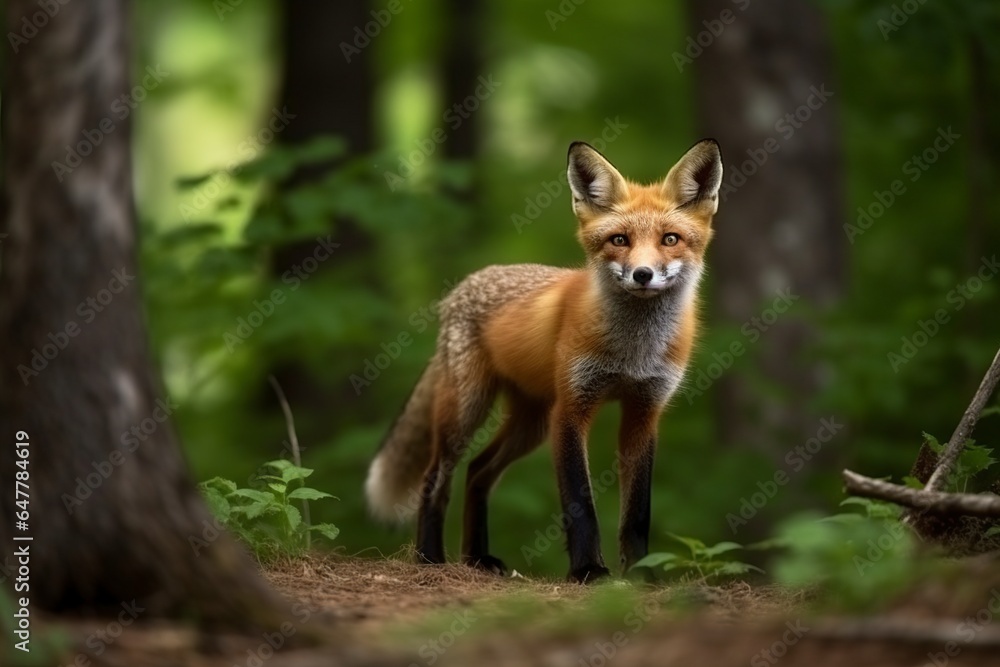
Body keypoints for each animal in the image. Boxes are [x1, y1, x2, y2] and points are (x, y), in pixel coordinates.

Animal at [364, 141, 724, 584]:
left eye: (670, 239)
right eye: (619, 239)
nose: (642, 274)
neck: (631, 352)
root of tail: (461, 288)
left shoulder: (644, 411)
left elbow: (638, 512)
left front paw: (642, 575)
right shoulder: (571, 409)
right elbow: (580, 505)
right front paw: (588, 570)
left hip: (529, 424)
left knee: (478, 471)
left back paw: (478, 558)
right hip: (467, 410)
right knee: (436, 479)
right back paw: (430, 557)